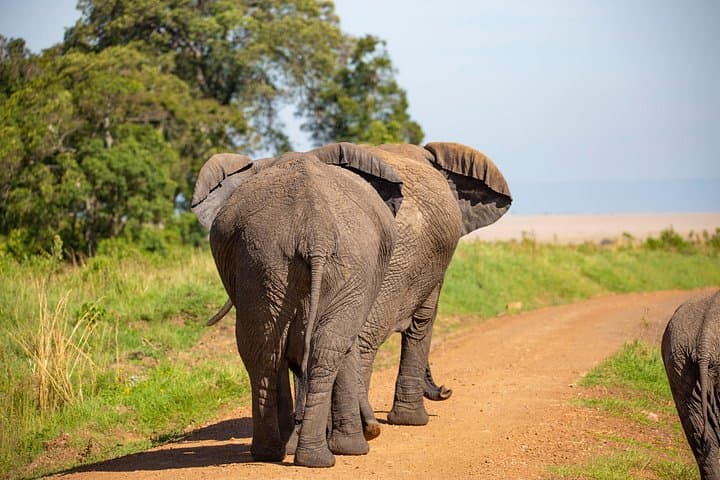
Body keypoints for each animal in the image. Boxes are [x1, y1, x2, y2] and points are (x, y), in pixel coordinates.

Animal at [190, 145, 405, 467]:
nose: (375, 429)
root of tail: (314, 229)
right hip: (288, 262)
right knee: (317, 348)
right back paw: (315, 455)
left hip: (267, 262)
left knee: (267, 349)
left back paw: (279, 454)